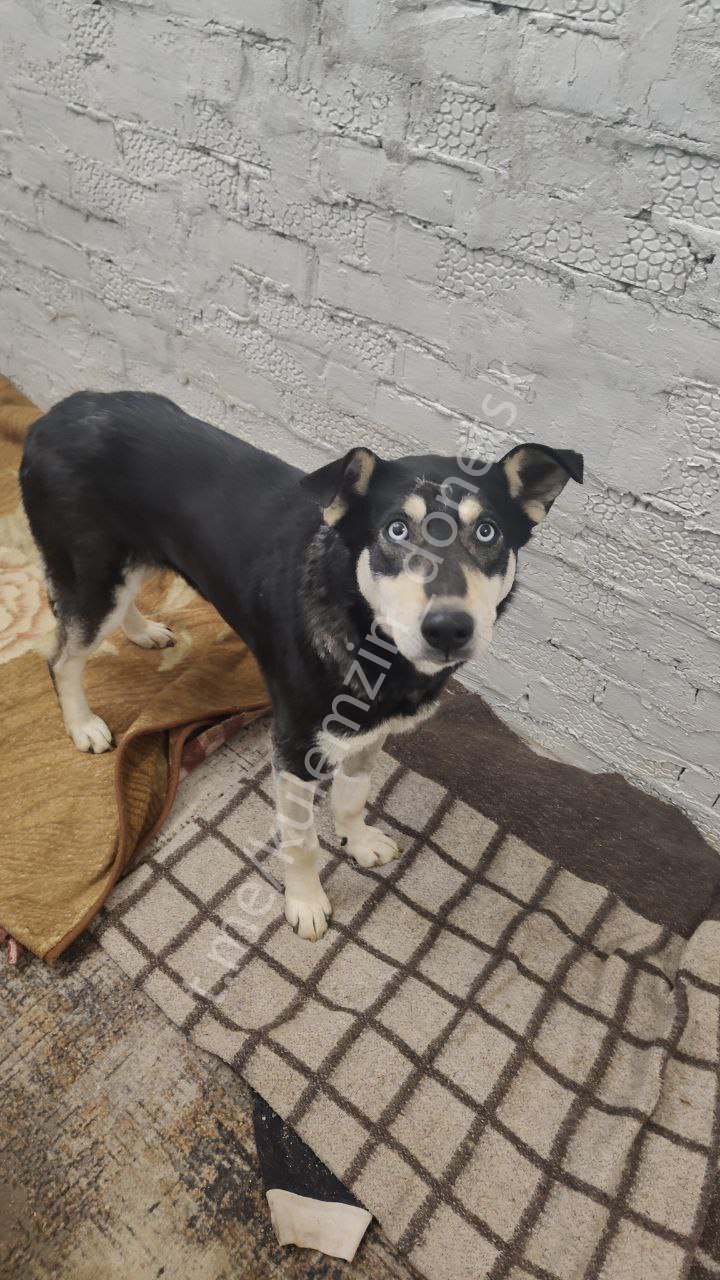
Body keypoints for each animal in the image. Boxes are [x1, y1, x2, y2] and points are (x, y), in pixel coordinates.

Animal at [20, 390, 582, 939]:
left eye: (487, 532)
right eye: (396, 529)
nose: (448, 628)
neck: (370, 638)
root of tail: (54, 415)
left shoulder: (370, 732)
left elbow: (352, 797)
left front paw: (357, 842)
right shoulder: (294, 750)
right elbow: (302, 841)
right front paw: (306, 904)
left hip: (123, 566)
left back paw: (143, 633)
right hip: (91, 574)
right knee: (61, 656)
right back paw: (83, 725)